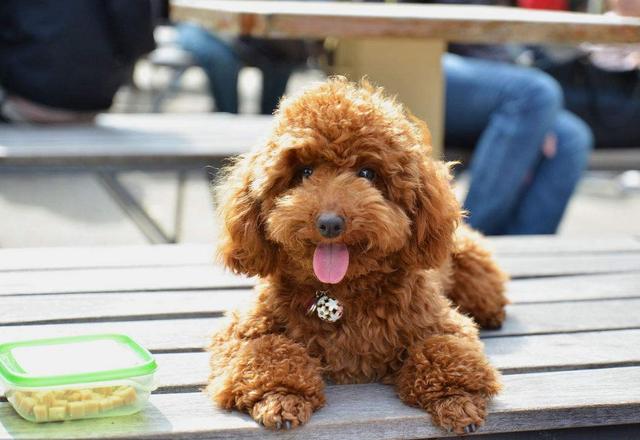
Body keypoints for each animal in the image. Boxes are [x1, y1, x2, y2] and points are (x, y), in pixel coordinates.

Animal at [210, 77, 510, 434]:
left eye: (367, 173)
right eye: (304, 171)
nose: (329, 223)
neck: (338, 294)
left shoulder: (442, 323)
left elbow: (444, 349)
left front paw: (457, 399)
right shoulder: (242, 330)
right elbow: (267, 350)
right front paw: (281, 397)